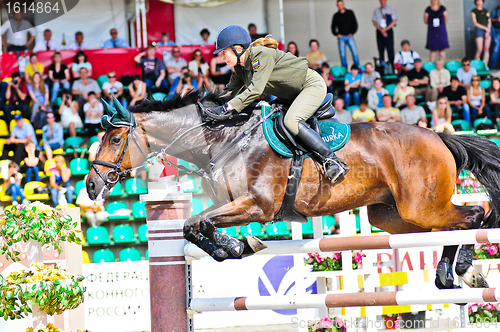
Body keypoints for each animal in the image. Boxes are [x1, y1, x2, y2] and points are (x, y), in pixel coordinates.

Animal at [87, 92, 500, 290]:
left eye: (115, 138)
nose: (91, 184)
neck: (225, 140)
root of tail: (438, 136)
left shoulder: (259, 206)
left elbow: (197, 222)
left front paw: (237, 245)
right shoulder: (236, 205)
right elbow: (197, 226)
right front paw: (235, 247)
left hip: (421, 205)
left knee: (474, 215)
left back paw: (463, 271)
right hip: (392, 216)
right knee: (447, 228)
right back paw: (451, 274)